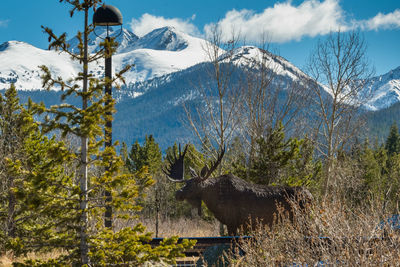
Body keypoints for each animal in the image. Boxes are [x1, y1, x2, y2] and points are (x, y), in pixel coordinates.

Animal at [164, 146, 314, 236]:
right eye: (186, 182)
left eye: (193, 185)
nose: (177, 193)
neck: (214, 201)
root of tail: (311, 196)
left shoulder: (232, 222)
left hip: (302, 221)